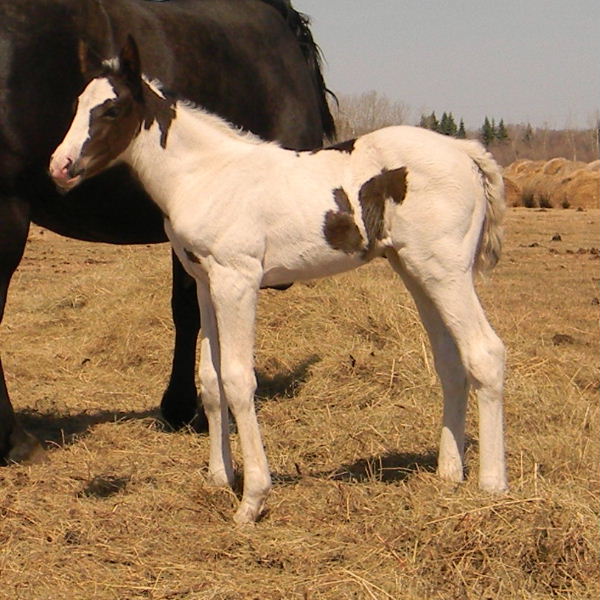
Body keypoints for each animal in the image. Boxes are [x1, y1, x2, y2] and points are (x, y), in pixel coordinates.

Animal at [49, 35, 508, 523]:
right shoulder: (205, 283)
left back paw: (492, 487)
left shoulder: (238, 279)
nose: (60, 167)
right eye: (77, 104)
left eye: (112, 109)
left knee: (485, 352)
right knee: (451, 360)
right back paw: (449, 476)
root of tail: (466, 153)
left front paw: (252, 500)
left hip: (446, 271)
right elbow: (211, 380)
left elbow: (238, 379)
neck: (206, 175)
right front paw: (219, 478)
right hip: (416, 270)